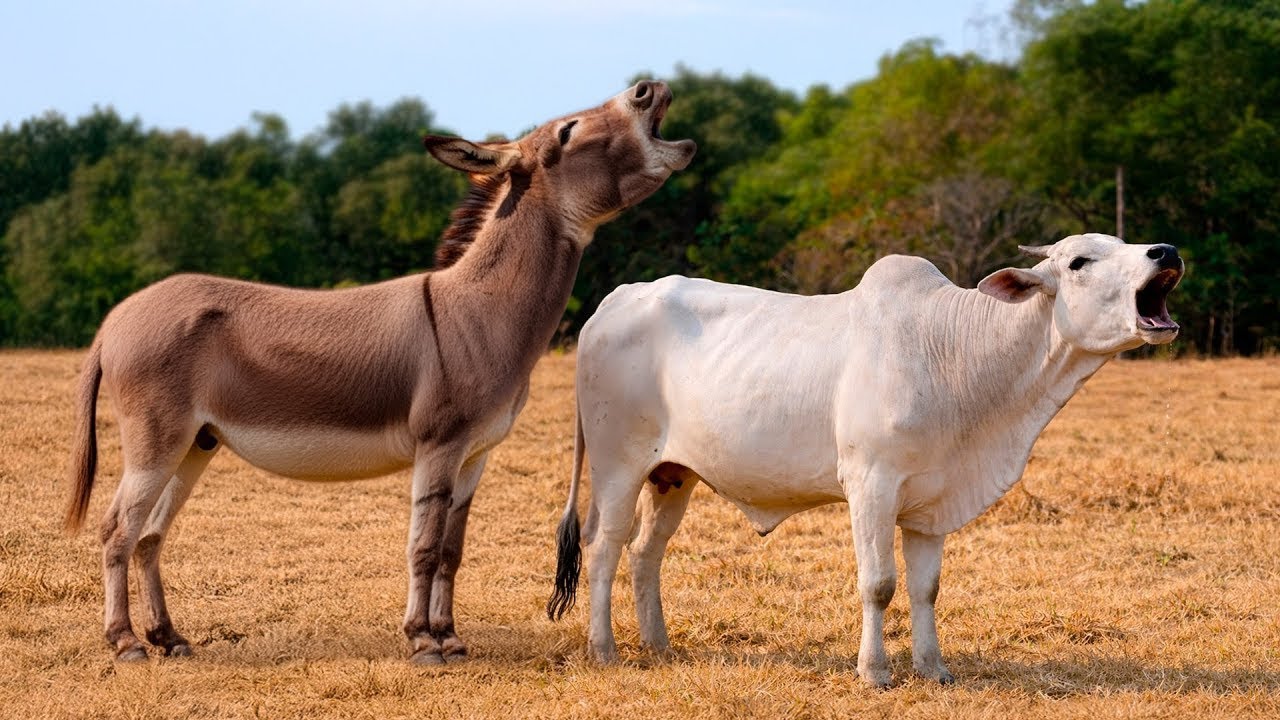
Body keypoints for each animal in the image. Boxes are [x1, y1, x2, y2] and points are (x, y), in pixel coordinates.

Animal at [546, 233, 1183, 687]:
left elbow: (927, 589)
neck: (956, 353)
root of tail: (613, 302)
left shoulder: (932, 503)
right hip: (617, 466)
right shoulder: (871, 485)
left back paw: (658, 644)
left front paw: (934, 668)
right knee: (603, 548)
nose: (1167, 250)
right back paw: (605, 649)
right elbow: (879, 583)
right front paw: (875, 671)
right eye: (1079, 261)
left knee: (645, 553)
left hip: (672, 476)